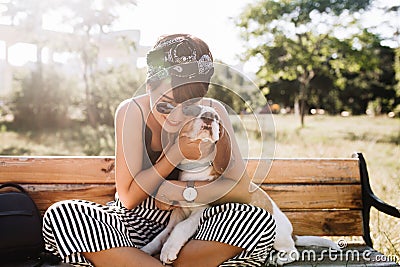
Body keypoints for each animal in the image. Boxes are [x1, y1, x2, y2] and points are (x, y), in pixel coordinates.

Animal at [141, 104, 340, 266]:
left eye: (217, 118)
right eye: (192, 110)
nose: (209, 117)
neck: (194, 167)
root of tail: (292, 234)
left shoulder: (200, 212)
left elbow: (181, 228)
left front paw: (169, 250)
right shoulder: (178, 213)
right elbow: (163, 234)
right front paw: (147, 249)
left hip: (279, 236)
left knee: (293, 252)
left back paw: (279, 258)